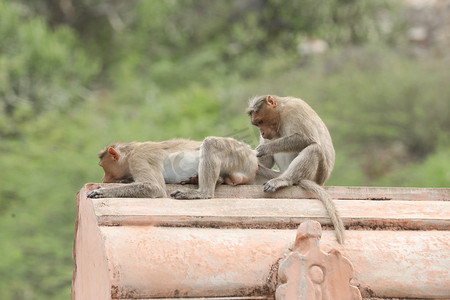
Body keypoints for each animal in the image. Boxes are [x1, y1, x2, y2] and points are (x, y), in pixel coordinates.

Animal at [246, 95, 344, 244]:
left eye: (261, 121)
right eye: (257, 124)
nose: (262, 132)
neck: (281, 112)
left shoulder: (295, 110)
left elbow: (307, 138)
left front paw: (265, 149)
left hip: (318, 173)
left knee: (314, 148)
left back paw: (284, 180)